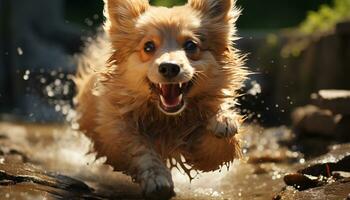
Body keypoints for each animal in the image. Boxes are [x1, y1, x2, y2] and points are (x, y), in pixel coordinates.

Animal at [75, 0, 247, 199]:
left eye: (191, 45)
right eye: (148, 47)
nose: (169, 67)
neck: (166, 119)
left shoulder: (206, 152)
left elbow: (219, 143)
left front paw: (222, 120)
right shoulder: (115, 131)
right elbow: (140, 149)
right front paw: (157, 179)